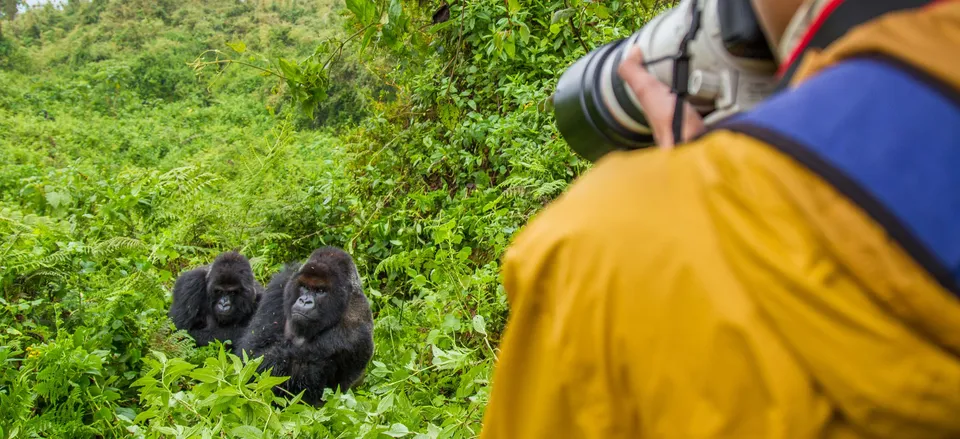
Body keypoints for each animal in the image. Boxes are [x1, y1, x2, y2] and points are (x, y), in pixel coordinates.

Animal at [234, 246, 376, 408]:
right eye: (304, 287)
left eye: (320, 291)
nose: (304, 301)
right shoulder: (282, 283)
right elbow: (253, 352)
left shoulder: (355, 330)